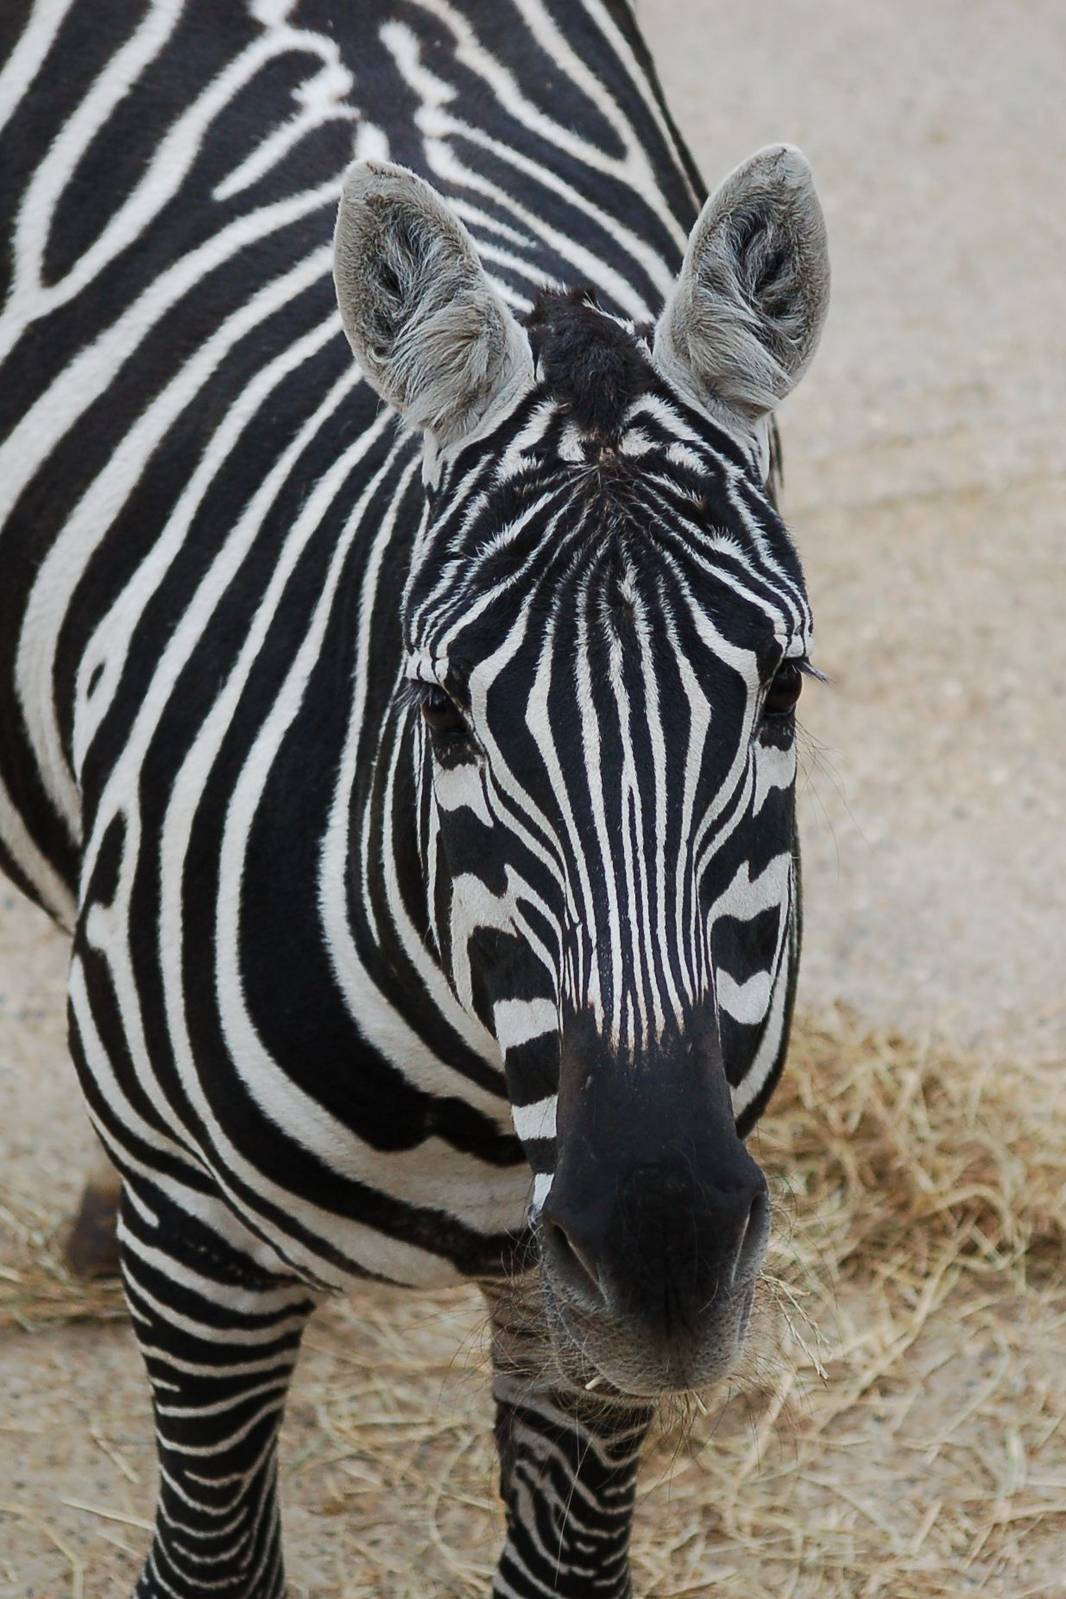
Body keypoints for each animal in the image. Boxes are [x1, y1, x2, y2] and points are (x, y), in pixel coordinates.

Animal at [0, 2, 829, 1594]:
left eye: (781, 691)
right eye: (438, 707)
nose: (667, 1252)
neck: (466, 1085)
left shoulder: (560, 1294)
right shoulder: (198, 1248)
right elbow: (210, 1561)